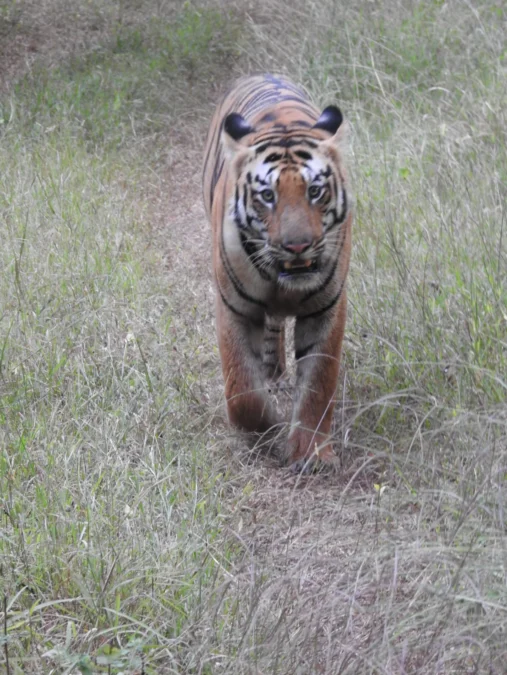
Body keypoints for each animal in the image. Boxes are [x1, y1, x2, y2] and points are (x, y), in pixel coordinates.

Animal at [202, 74, 352, 472]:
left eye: (315, 191)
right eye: (267, 196)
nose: (297, 246)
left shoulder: (326, 308)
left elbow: (318, 384)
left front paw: (311, 453)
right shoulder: (234, 307)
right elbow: (241, 389)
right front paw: (266, 427)